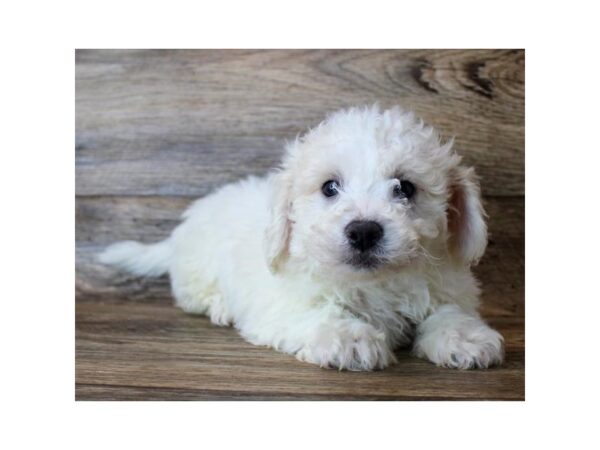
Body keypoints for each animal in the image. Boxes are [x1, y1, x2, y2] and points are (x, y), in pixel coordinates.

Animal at [101, 106, 504, 372]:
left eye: (405, 188)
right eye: (330, 187)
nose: (364, 231)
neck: (373, 283)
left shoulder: (446, 285)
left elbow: (448, 310)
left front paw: (465, 338)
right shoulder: (283, 302)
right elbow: (317, 313)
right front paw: (350, 339)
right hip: (197, 270)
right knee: (194, 297)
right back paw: (220, 306)